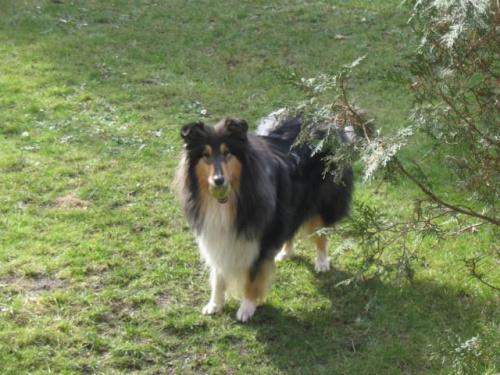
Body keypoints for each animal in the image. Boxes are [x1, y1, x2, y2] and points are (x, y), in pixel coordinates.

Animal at [176, 117, 352, 324]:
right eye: (205, 155)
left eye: (227, 152)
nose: (218, 181)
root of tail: (325, 123)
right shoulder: (218, 237)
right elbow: (218, 275)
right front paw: (215, 305)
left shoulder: (261, 240)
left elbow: (252, 278)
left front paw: (246, 309)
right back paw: (285, 253)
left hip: (322, 202)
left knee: (322, 234)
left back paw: (322, 262)